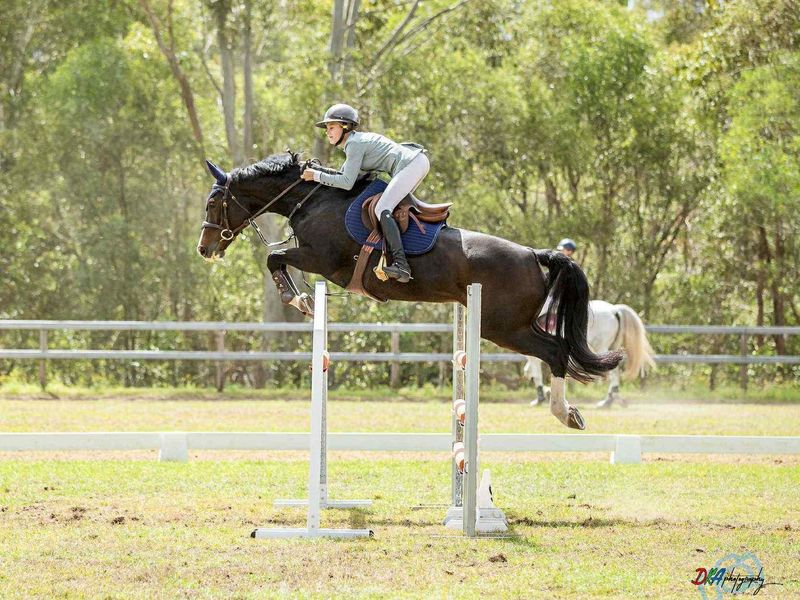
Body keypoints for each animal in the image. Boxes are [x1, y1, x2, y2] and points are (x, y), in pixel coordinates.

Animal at [197, 152, 622, 430]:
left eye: (214, 202)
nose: (205, 249)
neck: (313, 200)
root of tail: (534, 254)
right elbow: (277, 260)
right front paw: (301, 298)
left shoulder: (320, 259)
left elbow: (275, 259)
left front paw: (297, 299)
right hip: (512, 325)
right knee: (556, 352)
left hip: (504, 328)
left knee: (556, 352)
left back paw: (566, 413)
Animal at [524, 300, 655, 409]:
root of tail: (614, 310)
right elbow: (529, 371)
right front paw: (546, 393)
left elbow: (536, 374)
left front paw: (540, 398)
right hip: (613, 347)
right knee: (614, 372)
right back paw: (611, 400)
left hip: (601, 348)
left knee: (611, 372)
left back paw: (607, 402)